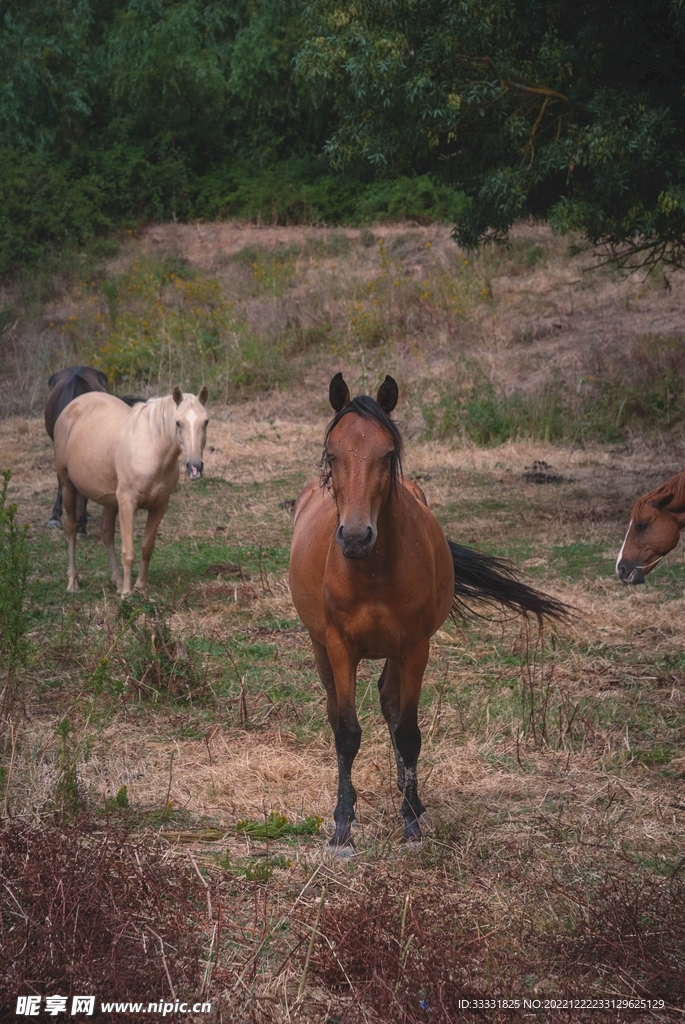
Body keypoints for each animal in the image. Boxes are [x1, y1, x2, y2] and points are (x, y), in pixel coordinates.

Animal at [54, 386, 209, 595]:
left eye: (205, 421)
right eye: (178, 422)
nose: (195, 467)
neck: (151, 450)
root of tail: (71, 407)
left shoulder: (159, 506)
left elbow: (147, 547)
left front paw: (140, 586)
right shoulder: (128, 504)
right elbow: (128, 552)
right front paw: (127, 593)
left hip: (110, 499)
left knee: (106, 532)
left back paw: (117, 580)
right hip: (67, 485)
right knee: (71, 529)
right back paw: (73, 583)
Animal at [289, 373, 568, 853]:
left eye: (387, 453)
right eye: (332, 453)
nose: (356, 537)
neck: (372, 571)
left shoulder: (415, 646)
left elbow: (407, 731)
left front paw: (412, 825)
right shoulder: (341, 647)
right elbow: (347, 732)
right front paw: (343, 828)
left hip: (396, 652)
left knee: (390, 705)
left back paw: (412, 801)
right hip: (321, 648)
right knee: (336, 710)